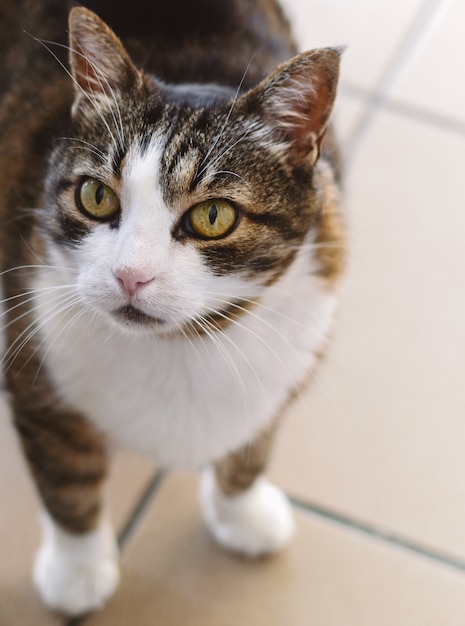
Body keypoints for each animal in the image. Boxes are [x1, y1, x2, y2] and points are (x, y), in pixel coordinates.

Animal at [0, 0, 344, 616]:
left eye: (213, 216)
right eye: (96, 196)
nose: (129, 275)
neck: (182, 343)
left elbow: (253, 444)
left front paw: (243, 512)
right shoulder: (35, 369)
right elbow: (67, 477)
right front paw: (77, 571)